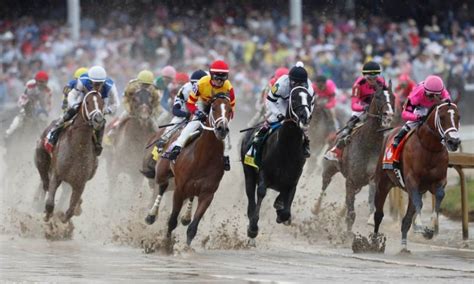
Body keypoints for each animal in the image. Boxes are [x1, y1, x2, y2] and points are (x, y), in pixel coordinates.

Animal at [35, 90, 104, 222]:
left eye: (102, 103)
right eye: (87, 102)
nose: (98, 120)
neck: (78, 147)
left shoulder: (80, 184)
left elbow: (70, 211)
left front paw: (63, 218)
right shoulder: (56, 175)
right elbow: (50, 204)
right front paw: (47, 216)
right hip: (41, 158)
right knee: (44, 181)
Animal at [145, 93, 232, 246]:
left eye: (229, 110)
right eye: (214, 108)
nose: (222, 129)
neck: (203, 158)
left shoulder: (208, 194)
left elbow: (193, 228)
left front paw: (186, 248)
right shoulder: (179, 190)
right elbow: (172, 221)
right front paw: (166, 245)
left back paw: (185, 217)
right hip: (161, 172)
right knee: (162, 186)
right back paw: (151, 215)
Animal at [241, 86, 314, 242]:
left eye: (310, 99)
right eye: (294, 98)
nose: (305, 117)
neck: (286, 150)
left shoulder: (293, 179)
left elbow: (286, 208)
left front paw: (281, 211)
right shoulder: (264, 173)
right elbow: (261, 192)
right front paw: (253, 228)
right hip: (248, 173)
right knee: (251, 197)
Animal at [316, 83, 394, 232]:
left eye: (393, 96)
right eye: (378, 96)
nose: (389, 116)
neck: (369, 144)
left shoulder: (372, 178)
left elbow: (371, 197)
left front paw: (370, 219)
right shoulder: (351, 180)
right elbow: (351, 212)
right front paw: (347, 233)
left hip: (359, 183)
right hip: (330, 168)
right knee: (324, 185)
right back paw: (315, 208)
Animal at [372, 101, 462, 252]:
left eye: (458, 117)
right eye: (442, 117)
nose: (454, 142)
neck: (429, 148)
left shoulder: (438, 182)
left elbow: (438, 196)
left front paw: (430, 229)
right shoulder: (412, 181)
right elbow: (419, 203)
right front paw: (420, 226)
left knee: (406, 219)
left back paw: (404, 247)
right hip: (383, 183)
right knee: (378, 214)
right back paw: (373, 243)